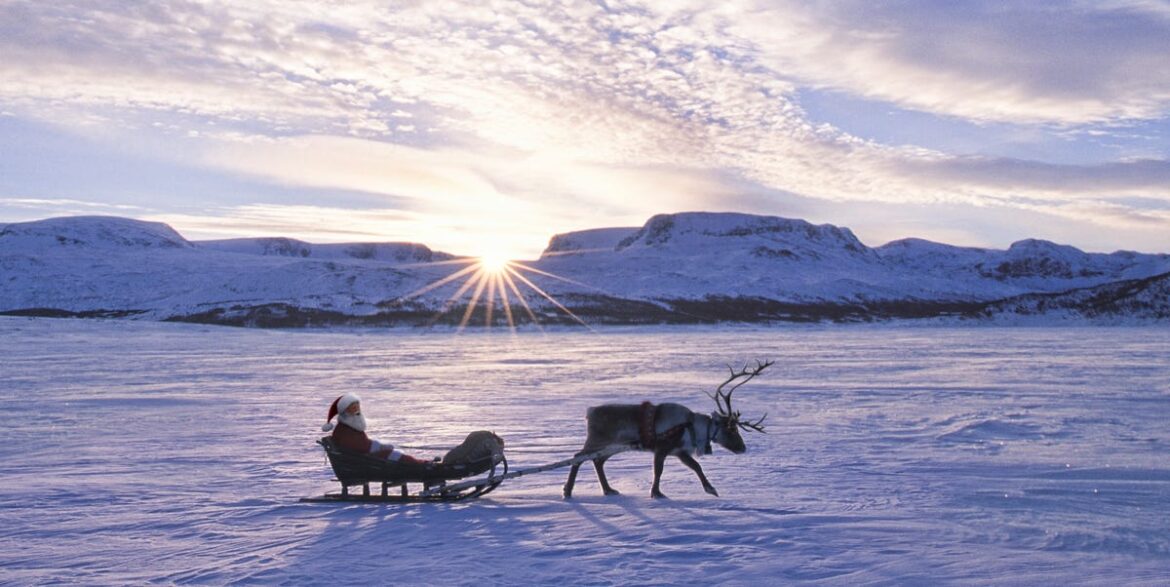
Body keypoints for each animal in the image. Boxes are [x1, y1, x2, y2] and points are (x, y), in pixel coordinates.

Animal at [563, 360, 772, 499]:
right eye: (731, 429)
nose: (743, 448)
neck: (691, 426)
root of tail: (590, 412)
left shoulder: (680, 452)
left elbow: (696, 466)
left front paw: (711, 489)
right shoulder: (661, 449)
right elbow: (659, 471)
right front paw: (656, 493)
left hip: (612, 446)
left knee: (597, 461)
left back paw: (608, 490)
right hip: (597, 441)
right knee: (578, 457)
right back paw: (568, 490)